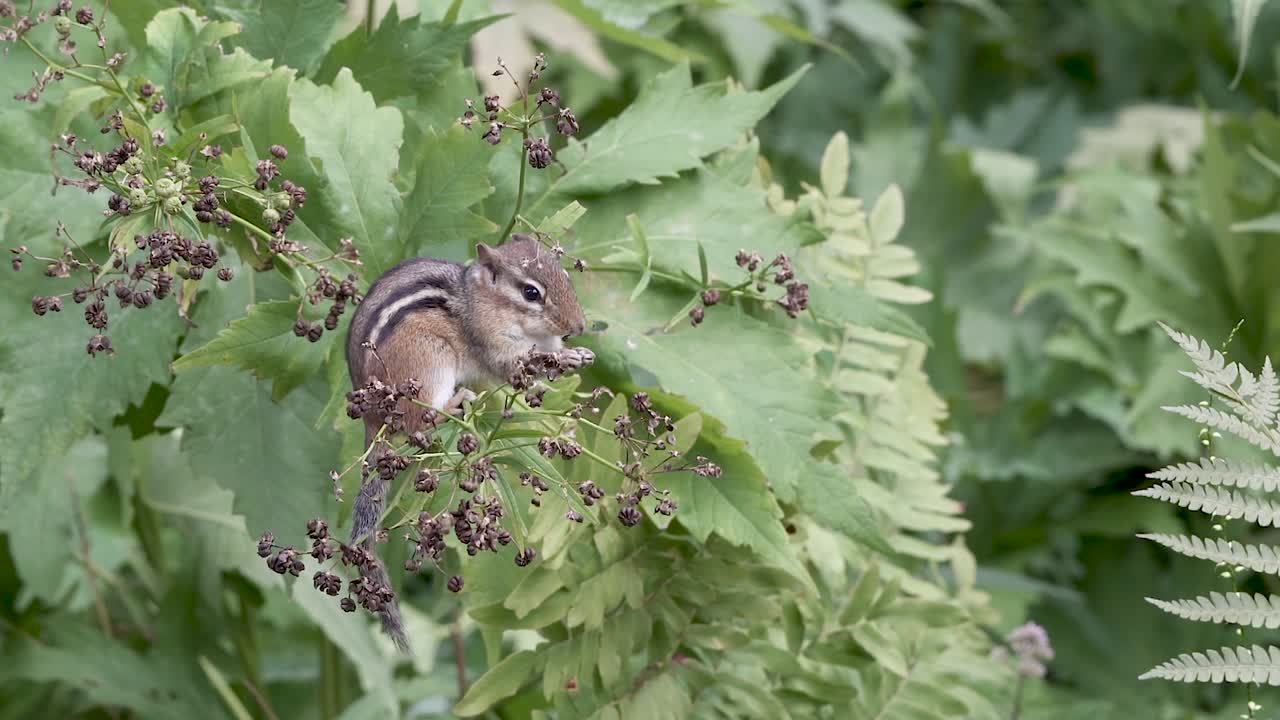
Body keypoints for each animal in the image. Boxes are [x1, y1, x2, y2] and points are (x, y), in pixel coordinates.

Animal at [345, 234, 592, 652]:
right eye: (530, 292)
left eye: (566, 278)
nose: (579, 326)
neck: (483, 300)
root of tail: (372, 417)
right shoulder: (494, 346)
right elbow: (516, 367)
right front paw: (565, 357)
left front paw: (577, 353)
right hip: (430, 365)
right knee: (423, 419)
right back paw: (457, 401)